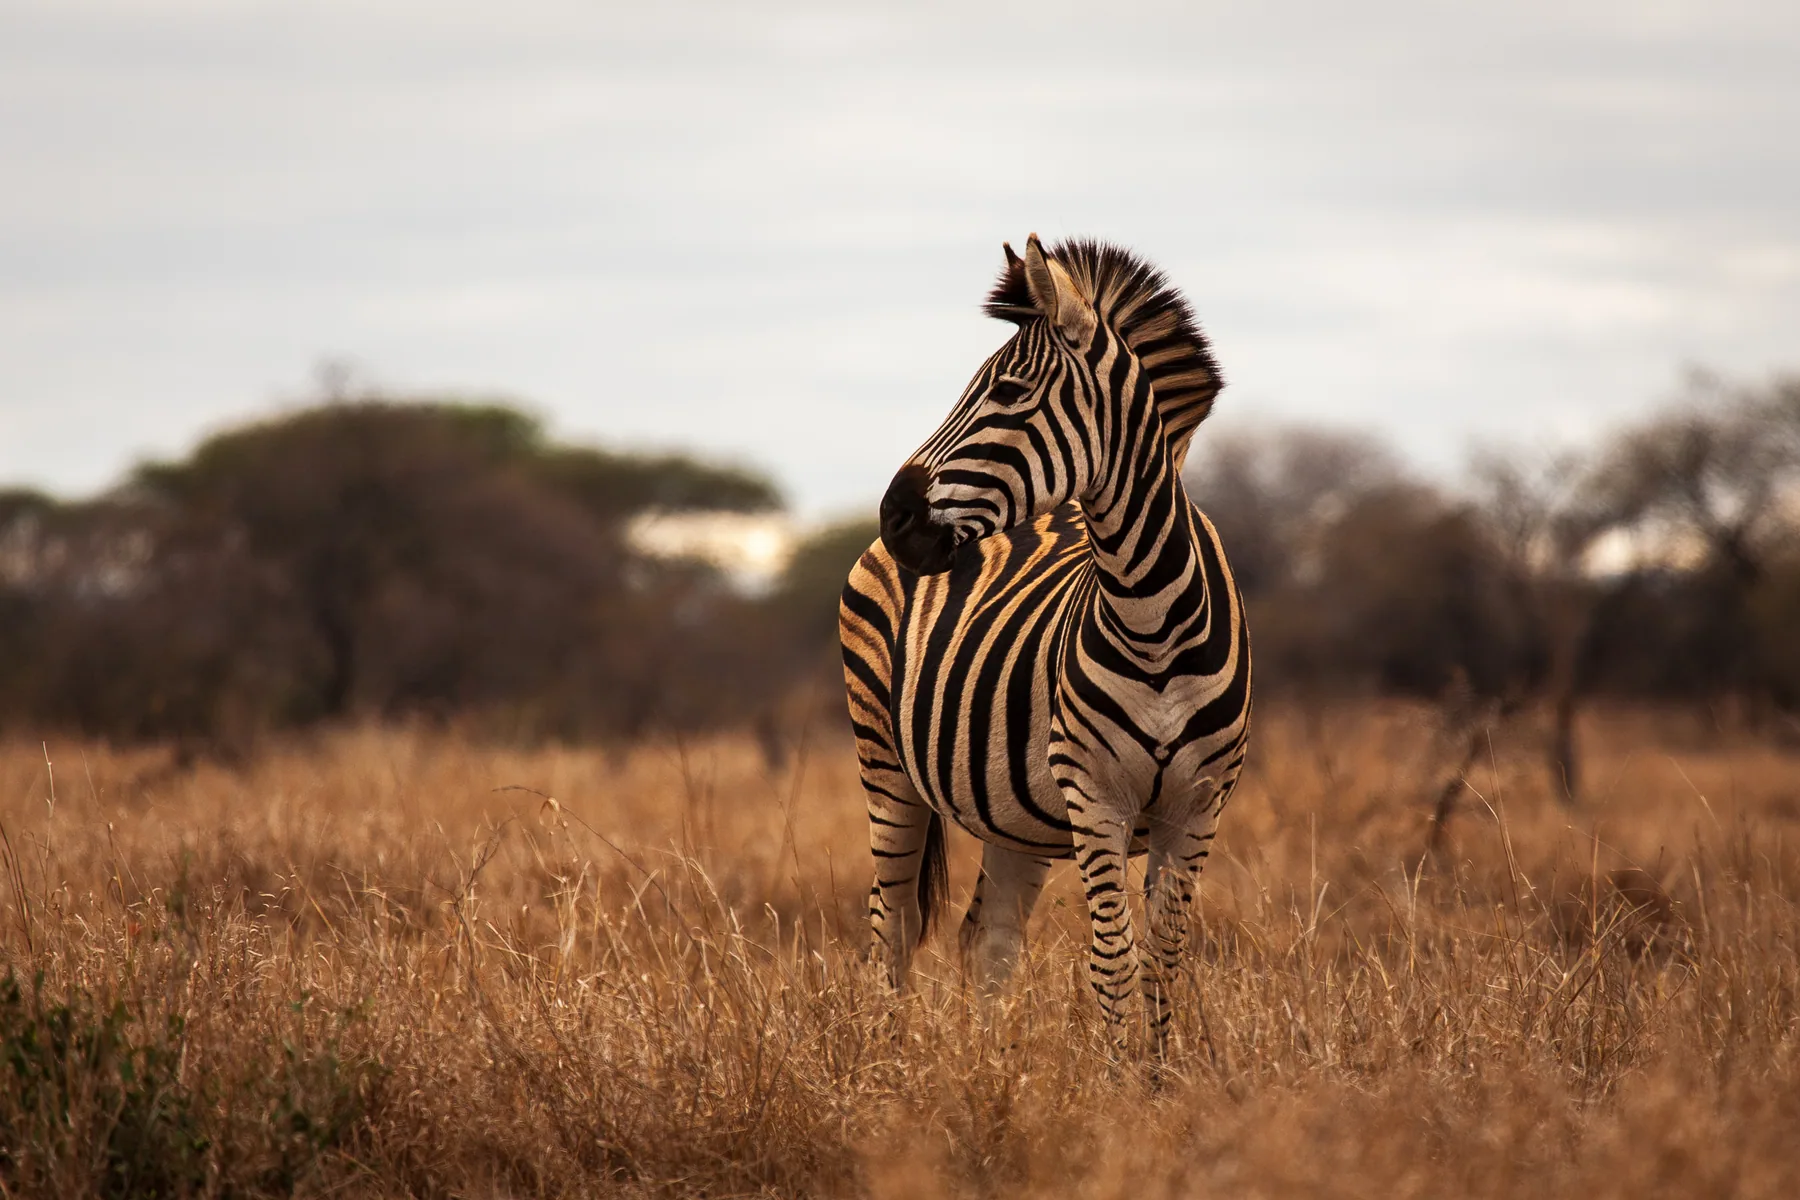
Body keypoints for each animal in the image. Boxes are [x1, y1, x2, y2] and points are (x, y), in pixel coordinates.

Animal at [839, 234, 1251, 1053]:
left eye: (1007, 393)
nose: (894, 517)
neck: (1153, 616)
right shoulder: (1095, 797)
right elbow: (1113, 964)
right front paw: (1123, 1079)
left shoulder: (1197, 806)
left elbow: (1162, 962)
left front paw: (1158, 1078)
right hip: (885, 765)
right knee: (891, 928)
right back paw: (887, 1065)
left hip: (1010, 811)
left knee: (987, 941)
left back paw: (989, 1068)